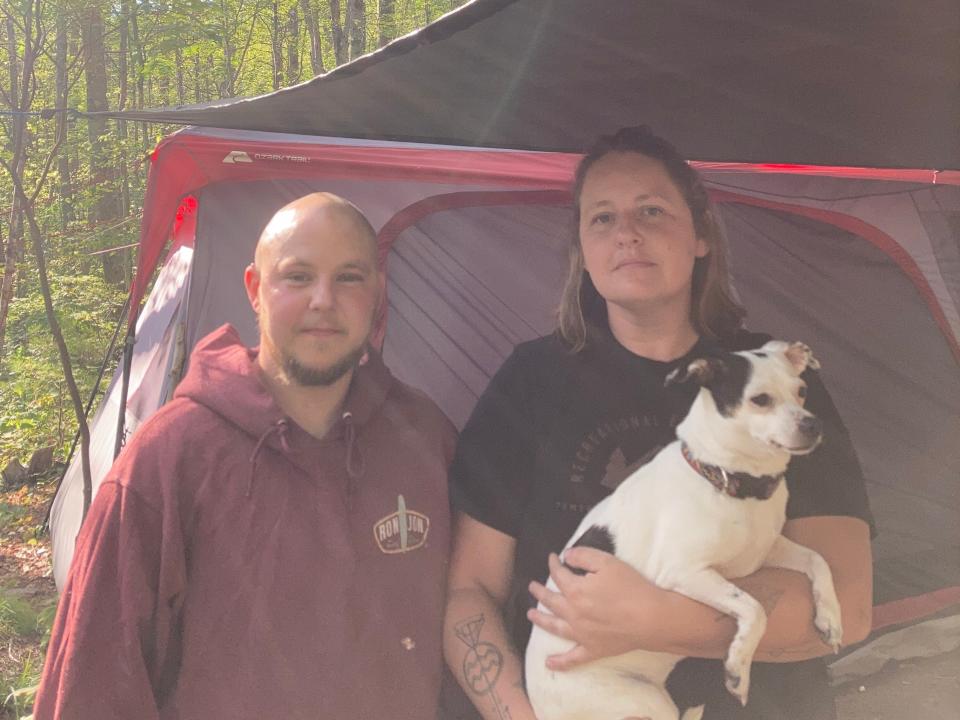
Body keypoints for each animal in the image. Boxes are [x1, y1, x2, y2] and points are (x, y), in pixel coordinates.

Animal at [520, 340, 844, 720]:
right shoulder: (683, 572)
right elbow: (754, 608)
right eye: (760, 399)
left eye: (802, 391)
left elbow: (819, 560)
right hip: (645, 703)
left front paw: (830, 618)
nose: (813, 424)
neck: (727, 480)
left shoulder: (766, 551)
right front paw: (738, 668)